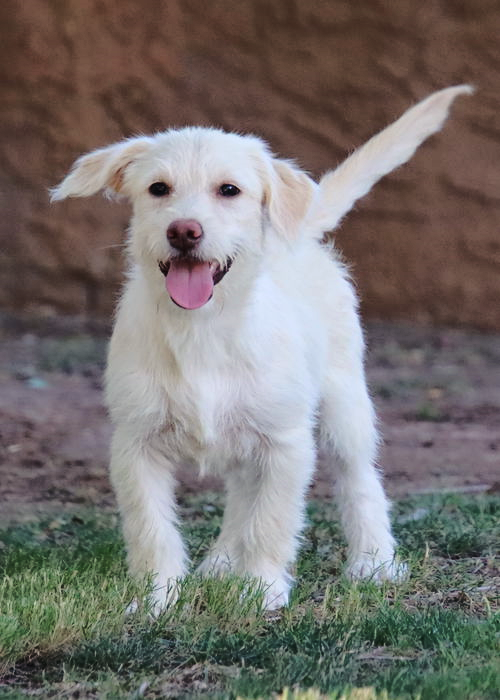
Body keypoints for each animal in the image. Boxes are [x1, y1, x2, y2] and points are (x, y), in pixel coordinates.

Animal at [52, 85, 470, 608]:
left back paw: (373, 563)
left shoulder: (286, 442)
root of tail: (300, 236)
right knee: (240, 495)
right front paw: (156, 599)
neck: (203, 327)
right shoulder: (136, 444)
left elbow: (272, 521)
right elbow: (152, 530)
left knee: (359, 480)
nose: (183, 231)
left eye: (229, 190)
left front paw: (263, 591)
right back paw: (220, 563)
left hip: (344, 406)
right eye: (158, 189)